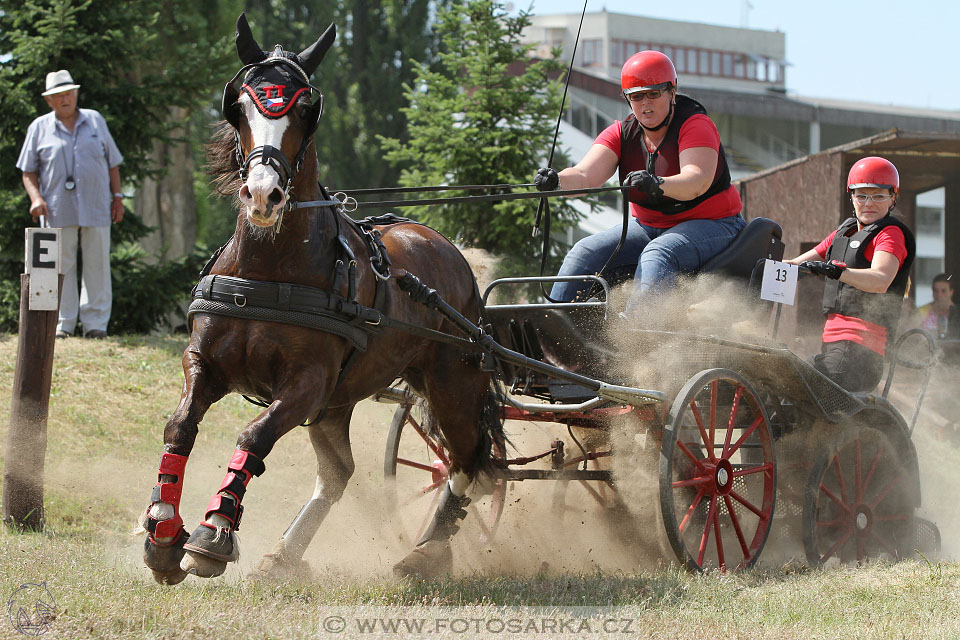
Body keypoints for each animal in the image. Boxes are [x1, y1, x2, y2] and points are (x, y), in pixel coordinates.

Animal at [144, 13, 502, 584]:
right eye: (240, 105)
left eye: (304, 109)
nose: (263, 194)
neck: (270, 267)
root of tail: (452, 252)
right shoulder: (206, 362)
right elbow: (180, 426)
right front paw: (162, 527)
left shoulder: (306, 384)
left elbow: (255, 435)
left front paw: (214, 531)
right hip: (342, 399)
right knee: (340, 472)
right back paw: (286, 554)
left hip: (453, 384)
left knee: (470, 460)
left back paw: (427, 552)